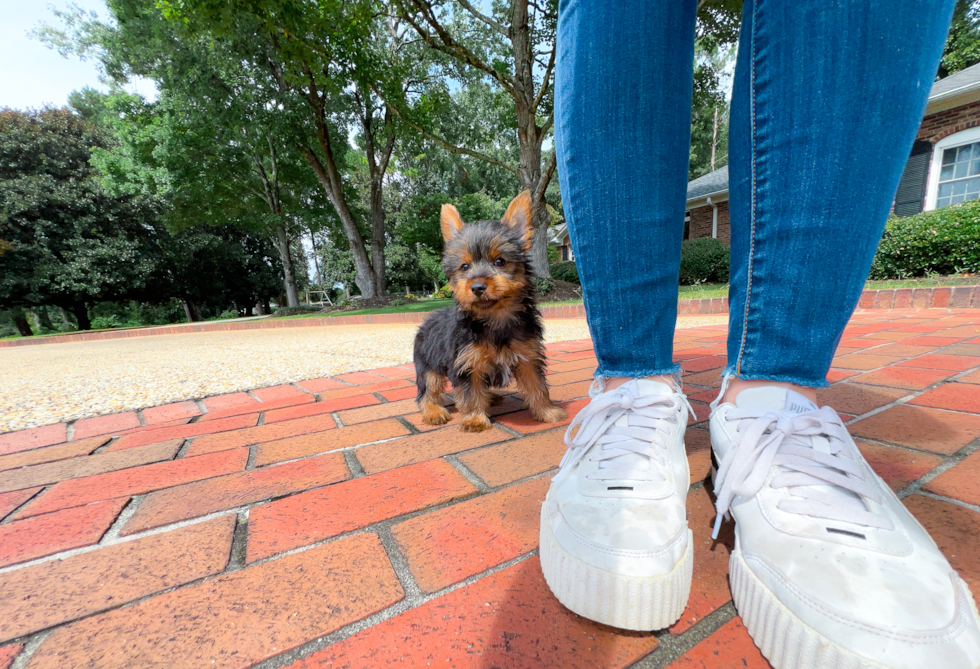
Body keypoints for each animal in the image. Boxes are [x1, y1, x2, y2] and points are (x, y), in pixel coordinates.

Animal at [412, 190, 568, 430]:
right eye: (464, 267)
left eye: (500, 262)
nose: (477, 286)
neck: (495, 317)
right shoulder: (466, 362)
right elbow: (470, 392)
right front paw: (475, 419)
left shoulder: (528, 355)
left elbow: (537, 385)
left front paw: (546, 411)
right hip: (429, 362)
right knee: (427, 390)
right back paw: (432, 411)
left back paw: (491, 397)